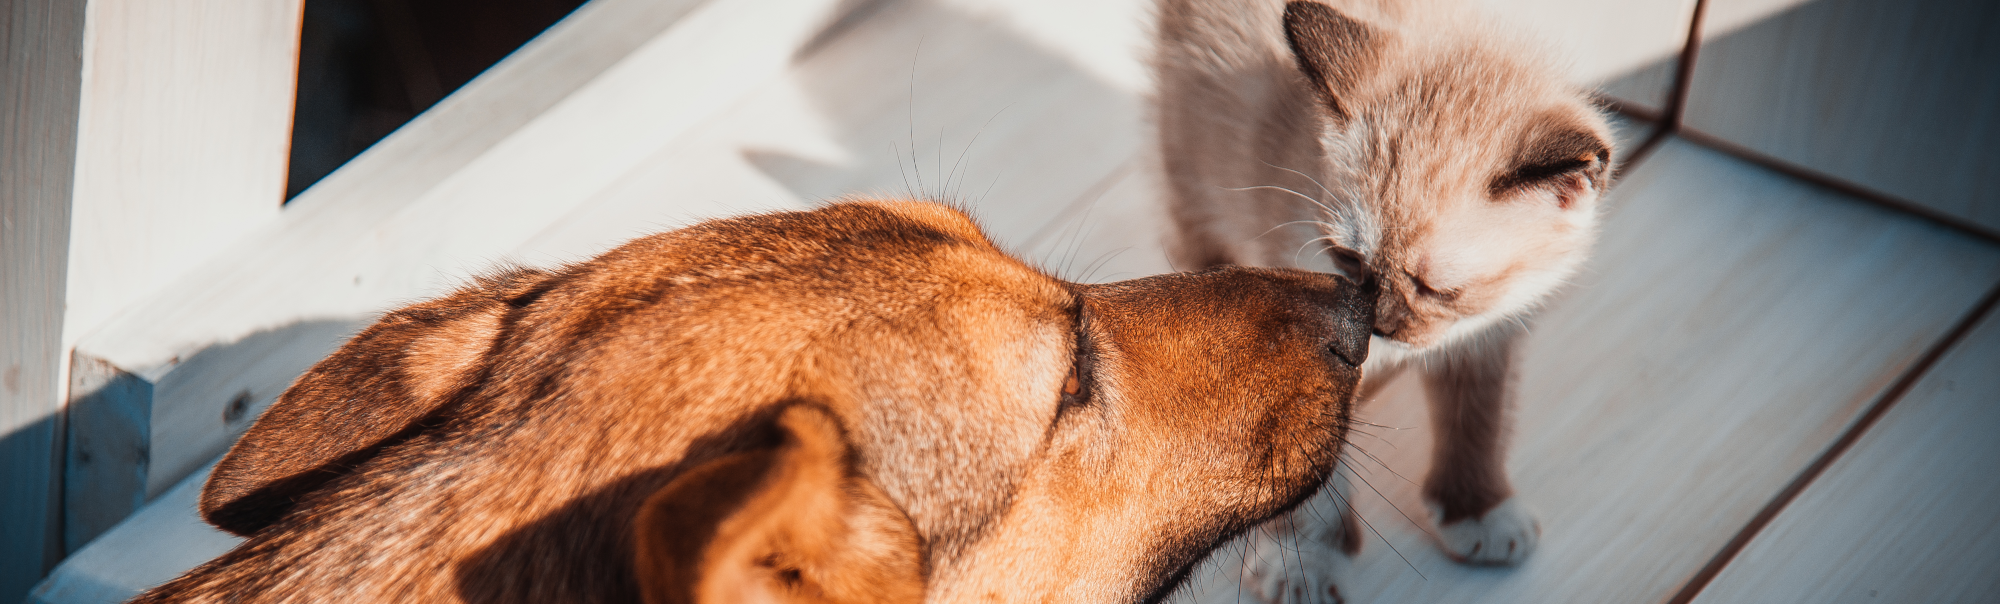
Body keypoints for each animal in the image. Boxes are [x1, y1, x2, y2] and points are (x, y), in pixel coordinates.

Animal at [1160, 0, 1608, 600]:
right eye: (1348, 261)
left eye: (1437, 289)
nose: (1380, 327)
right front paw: (1305, 564)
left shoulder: (1487, 333)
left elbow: (1478, 420)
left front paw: (1478, 510)